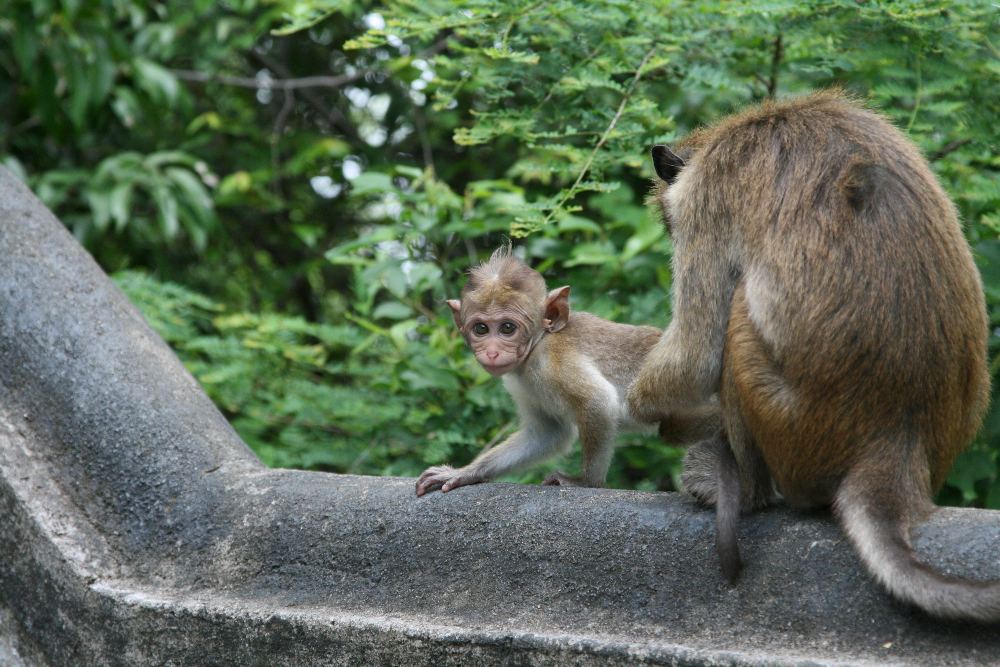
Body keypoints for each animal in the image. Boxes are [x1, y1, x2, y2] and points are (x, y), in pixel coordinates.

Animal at [414, 248, 720, 498]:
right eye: (481, 329)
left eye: (507, 328)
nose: (491, 352)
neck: (537, 343)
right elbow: (548, 432)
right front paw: (464, 472)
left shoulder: (552, 362)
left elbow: (599, 400)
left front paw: (586, 482)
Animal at [628, 88, 996, 620]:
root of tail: (898, 436)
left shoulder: (707, 196)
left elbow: (695, 357)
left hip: (791, 428)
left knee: (736, 311)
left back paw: (745, 492)